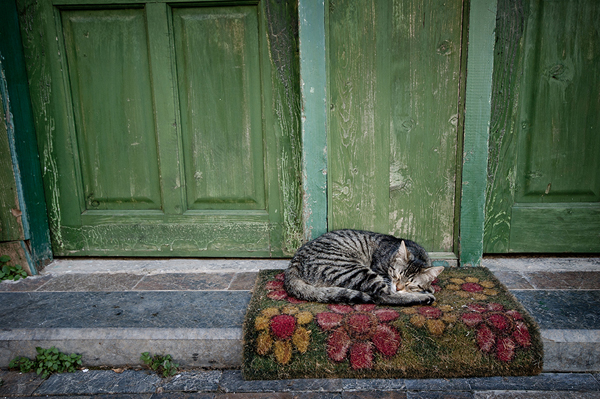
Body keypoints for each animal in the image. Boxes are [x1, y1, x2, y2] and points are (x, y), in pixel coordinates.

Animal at [284, 228, 442, 306]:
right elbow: (389, 290)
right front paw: (425, 291)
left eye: (410, 283)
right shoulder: (381, 272)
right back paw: (424, 298)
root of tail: (294, 262)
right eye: (395, 275)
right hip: (357, 271)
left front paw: (429, 286)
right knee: (383, 296)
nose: (398, 287)